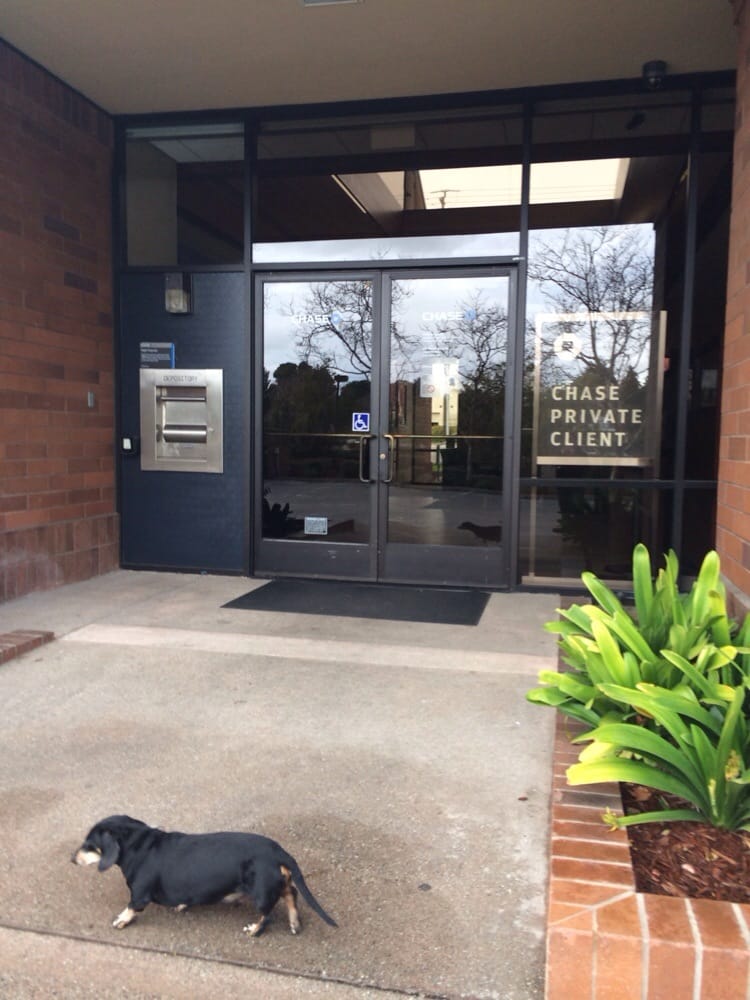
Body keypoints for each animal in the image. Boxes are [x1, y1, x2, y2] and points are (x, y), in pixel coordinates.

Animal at [72, 814, 337, 936]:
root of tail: (278, 851)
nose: (72, 859)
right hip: (274, 882)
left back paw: (253, 930)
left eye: (89, 844)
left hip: (260, 891)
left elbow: (131, 906)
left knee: (268, 916)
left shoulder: (138, 892)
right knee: (290, 893)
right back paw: (294, 922)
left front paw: (121, 919)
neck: (139, 844)